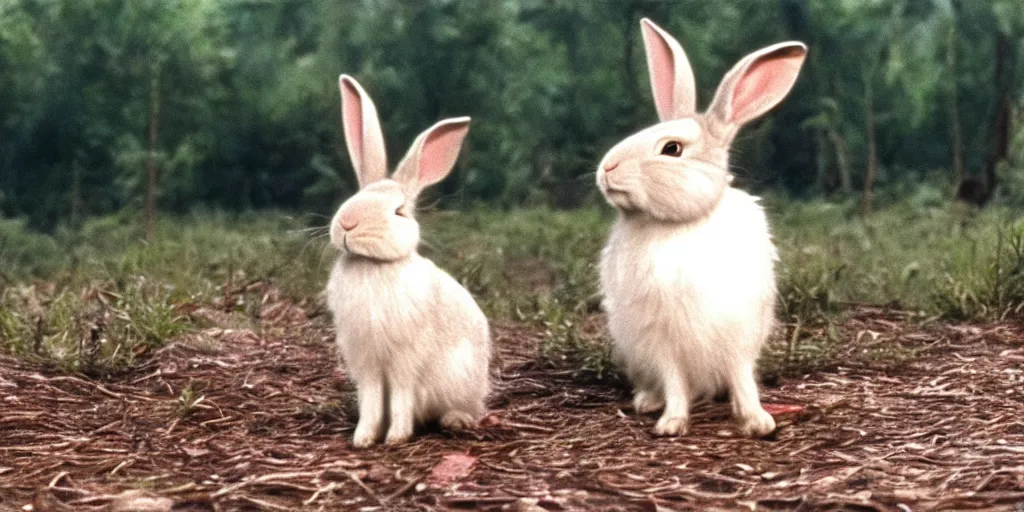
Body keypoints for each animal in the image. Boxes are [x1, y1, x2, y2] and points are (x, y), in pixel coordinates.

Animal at [325, 74, 489, 448]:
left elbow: (401, 396)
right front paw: (363, 438)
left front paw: (396, 438)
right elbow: (371, 401)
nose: (348, 224)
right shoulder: (367, 365)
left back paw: (456, 420)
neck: (373, 265)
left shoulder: (404, 360)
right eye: (353, 197)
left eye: (399, 211)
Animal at [598, 18, 802, 438]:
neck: (681, 223)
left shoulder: (737, 332)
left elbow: (742, 377)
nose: (606, 169)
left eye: (672, 148)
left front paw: (758, 421)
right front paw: (671, 423)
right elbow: (675, 382)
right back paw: (648, 402)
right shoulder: (661, 340)